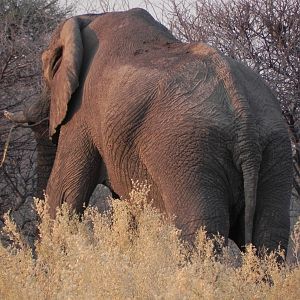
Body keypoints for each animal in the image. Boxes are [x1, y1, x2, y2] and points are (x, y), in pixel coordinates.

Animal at [7, 7, 292, 255]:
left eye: (47, 64)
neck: (90, 17)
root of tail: (243, 115)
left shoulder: (82, 113)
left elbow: (64, 195)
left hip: (188, 151)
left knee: (199, 235)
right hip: (275, 148)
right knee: (269, 240)